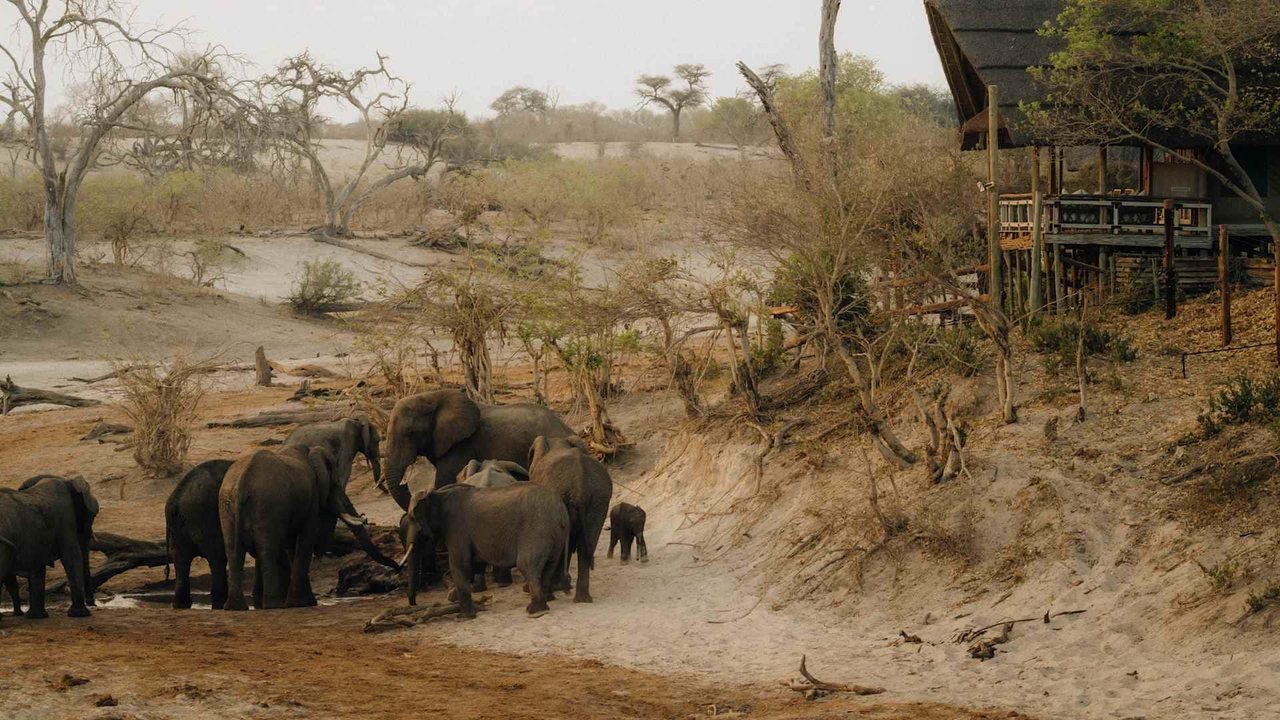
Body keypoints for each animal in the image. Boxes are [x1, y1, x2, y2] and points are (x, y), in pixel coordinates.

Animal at [0, 475, 99, 619]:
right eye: (93, 515)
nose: (92, 603)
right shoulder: (66, 518)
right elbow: (71, 556)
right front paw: (80, 614)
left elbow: (38, 567)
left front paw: (36, 616)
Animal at [165, 459, 234, 609]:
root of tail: (175, 500)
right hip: (206, 517)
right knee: (217, 557)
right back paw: (220, 603)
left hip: (179, 526)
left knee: (180, 557)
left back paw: (181, 605)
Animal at [219, 446, 391, 611]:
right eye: (335, 484)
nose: (364, 516)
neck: (311, 452)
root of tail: (242, 482)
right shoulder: (311, 499)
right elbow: (305, 540)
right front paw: (305, 603)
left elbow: (292, 546)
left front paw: (301, 602)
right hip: (266, 505)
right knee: (267, 549)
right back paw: (274, 605)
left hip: (227, 507)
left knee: (234, 552)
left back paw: (236, 607)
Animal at [400, 482, 568, 618]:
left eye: (414, 521)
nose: (414, 604)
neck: (437, 493)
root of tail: (560, 510)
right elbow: (475, 563)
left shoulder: (457, 529)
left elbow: (460, 564)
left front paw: (464, 617)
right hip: (555, 535)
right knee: (549, 566)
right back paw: (545, 603)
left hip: (537, 531)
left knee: (527, 565)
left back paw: (534, 611)